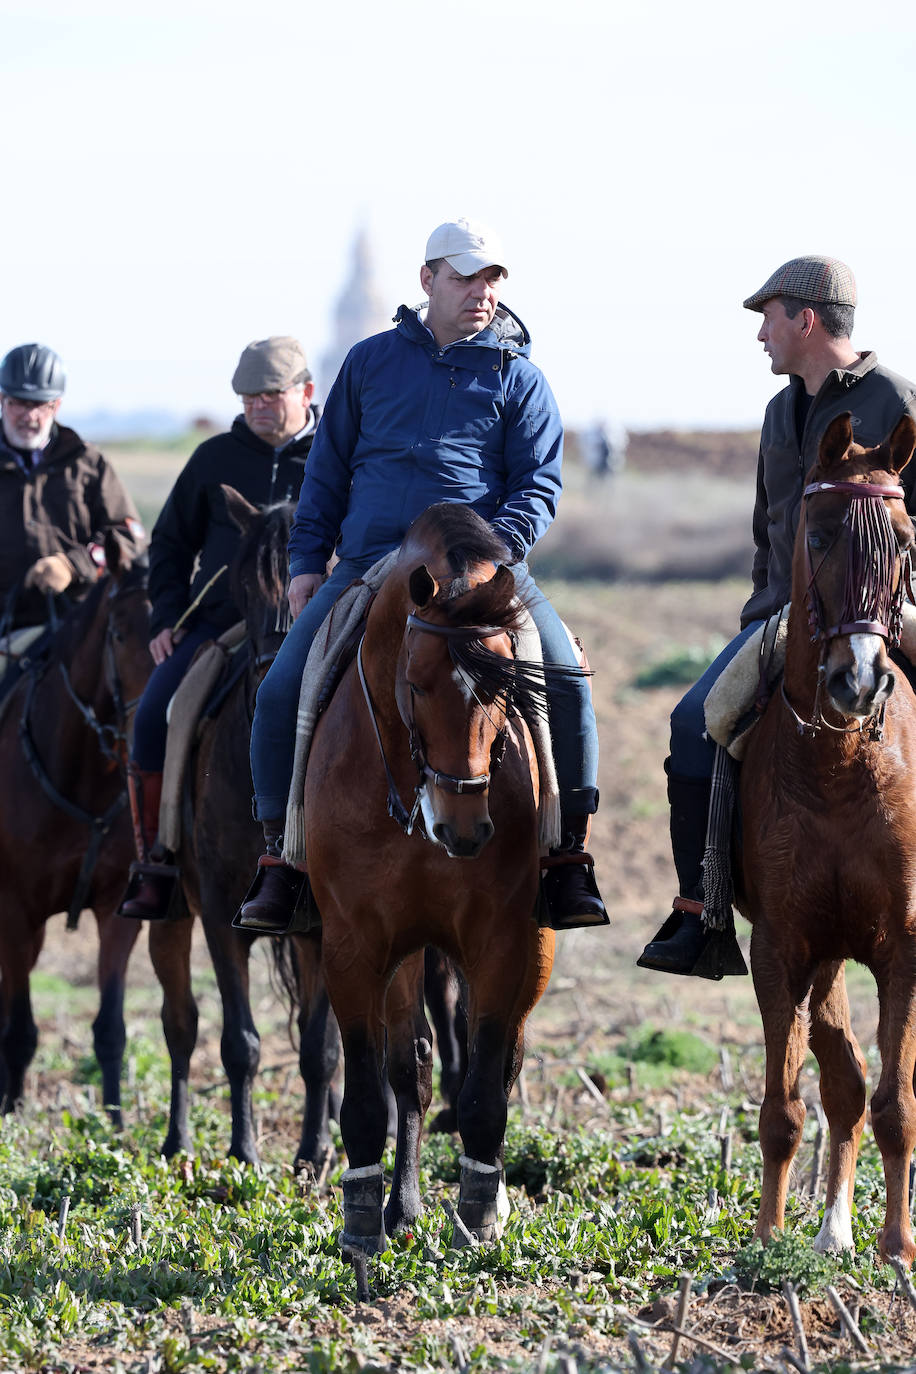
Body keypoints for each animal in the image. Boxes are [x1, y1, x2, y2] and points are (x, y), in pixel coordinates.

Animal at [0, 535, 150, 1115]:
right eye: (119, 632)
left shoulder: (117, 911)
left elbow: (110, 1029)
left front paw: (114, 1121)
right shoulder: (15, 911)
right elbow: (20, 1030)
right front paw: (12, 1114)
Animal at [304, 500, 568, 1253]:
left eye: (507, 687)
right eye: (417, 684)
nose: (466, 827)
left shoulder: (505, 942)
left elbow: (483, 1085)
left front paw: (479, 1212)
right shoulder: (355, 946)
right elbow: (373, 1087)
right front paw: (365, 1219)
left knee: (498, 1064)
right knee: (412, 1069)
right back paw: (403, 1206)